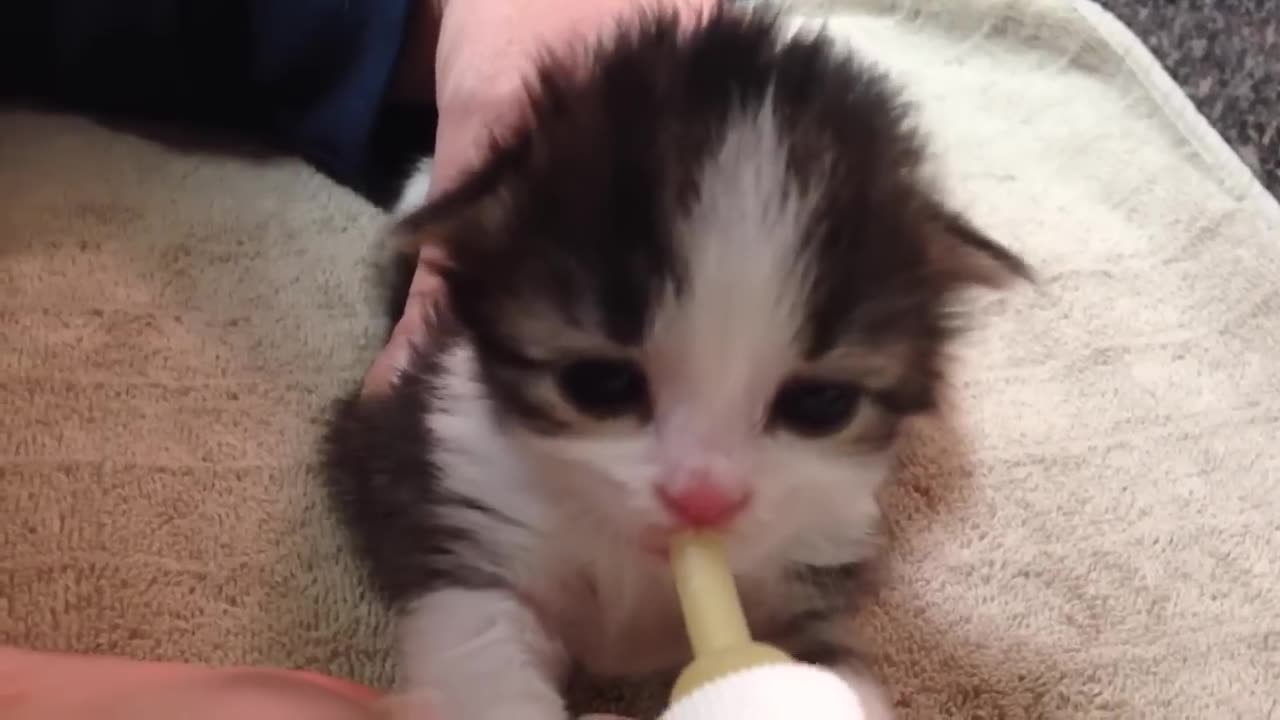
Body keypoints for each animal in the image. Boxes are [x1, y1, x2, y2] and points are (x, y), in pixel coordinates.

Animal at [322, 7, 1029, 717]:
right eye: (601, 384)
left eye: (821, 404)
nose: (704, 501)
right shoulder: (448, 483)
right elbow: (481, 653)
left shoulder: (813, 561)